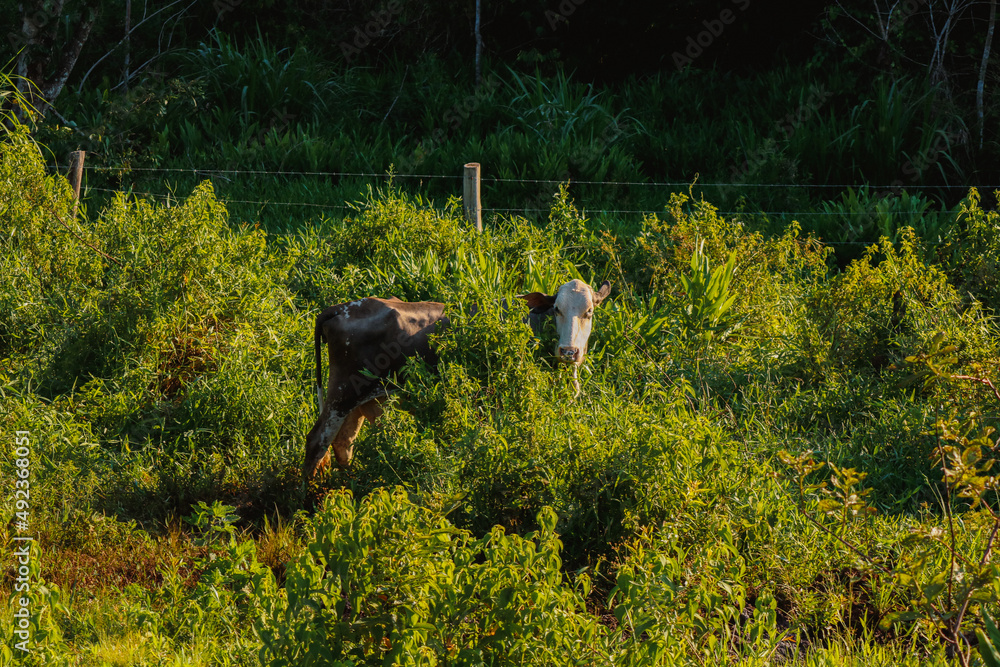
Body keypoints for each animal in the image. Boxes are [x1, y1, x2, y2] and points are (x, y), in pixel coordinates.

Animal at [304, 279, 612, 478]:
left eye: (589, 312)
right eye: (557, 309)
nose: (569, 351)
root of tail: (341, 307)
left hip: (360, 399)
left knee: (343, 444)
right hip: (341, 394)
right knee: (316, 443)